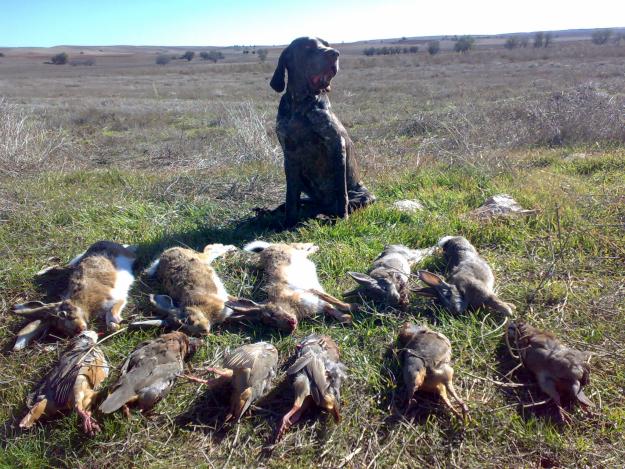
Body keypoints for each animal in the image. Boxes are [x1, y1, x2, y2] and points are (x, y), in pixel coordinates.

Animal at [225, 241, 356, 332]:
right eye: (272, 325)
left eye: (273, 314)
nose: (291, 326)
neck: (286, 302)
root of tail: (269, 247)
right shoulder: (319, 303)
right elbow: (332, 308)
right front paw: (347, 318)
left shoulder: (311, 291)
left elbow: (333, 300)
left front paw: (353, 307)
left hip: (295, 250)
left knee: (302, 245)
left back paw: (315, 247)